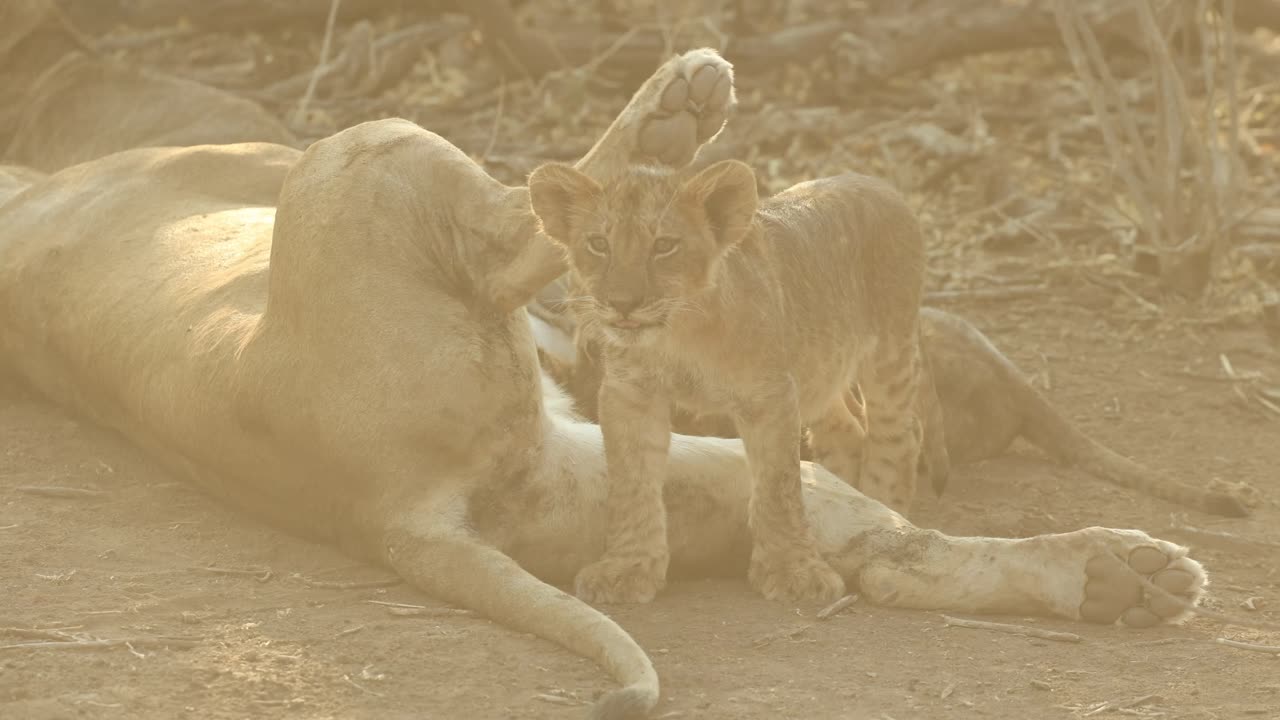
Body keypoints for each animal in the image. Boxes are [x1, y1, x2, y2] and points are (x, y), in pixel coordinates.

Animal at [0, 49, 1211, 719]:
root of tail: (372, 511)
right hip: (370, 150)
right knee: (519, 229)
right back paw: (672, 111)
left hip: (649, 480)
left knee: (882, 555)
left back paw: (1124, 578)